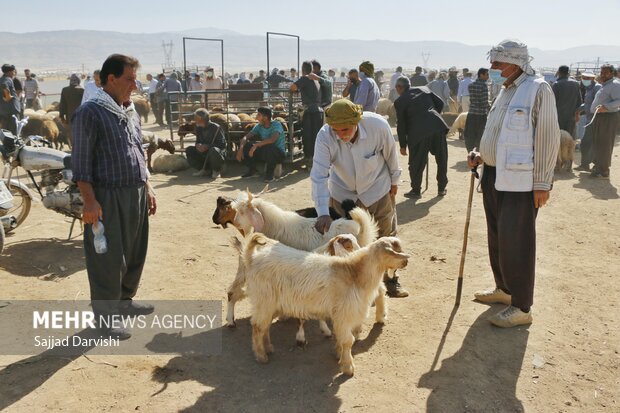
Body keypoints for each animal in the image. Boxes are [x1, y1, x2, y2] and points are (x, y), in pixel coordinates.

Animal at [240, 232, 410, 374]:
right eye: (396, 249)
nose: (406, 262)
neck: (354, 273)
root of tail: (252, 258)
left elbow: (342, 339)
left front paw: (338, 354)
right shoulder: (344, 314)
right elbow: (348, 341)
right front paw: (348, 367)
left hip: (269, 303)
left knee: (264, 326)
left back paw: (268, 348)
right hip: (264, 299)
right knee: (257, 327)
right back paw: (261, 356)